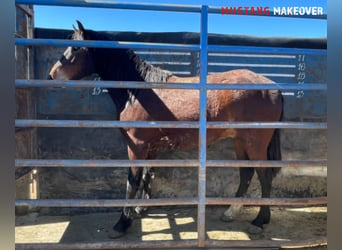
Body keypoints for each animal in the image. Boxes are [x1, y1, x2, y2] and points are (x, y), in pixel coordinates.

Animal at [48, 20, 284, 237]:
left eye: (76, 48)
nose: (51, 76)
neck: (138, 92)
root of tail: (272, 86)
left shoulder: (136, 146)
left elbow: (132, 182)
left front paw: (123, 222)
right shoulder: (150, 147)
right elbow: (147, 176)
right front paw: (140, 209)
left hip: (254, 143)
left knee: (265, 176)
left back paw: (260, 221)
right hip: (240, 140)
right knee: (246, 173)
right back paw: (231, 212)